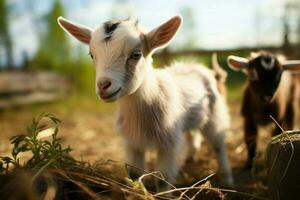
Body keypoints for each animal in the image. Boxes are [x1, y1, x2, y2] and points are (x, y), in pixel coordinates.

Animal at [57, 15, 233, 188]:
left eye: (136, 54)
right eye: (92, 55)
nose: (103, 86)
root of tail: (205, 70)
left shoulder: (168, 144)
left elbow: (162, 180)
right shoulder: (132, 143)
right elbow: (134, 175)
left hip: (215, 115)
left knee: (218, 144)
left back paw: (227, 180)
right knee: (193, 136)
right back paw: (191, 159)